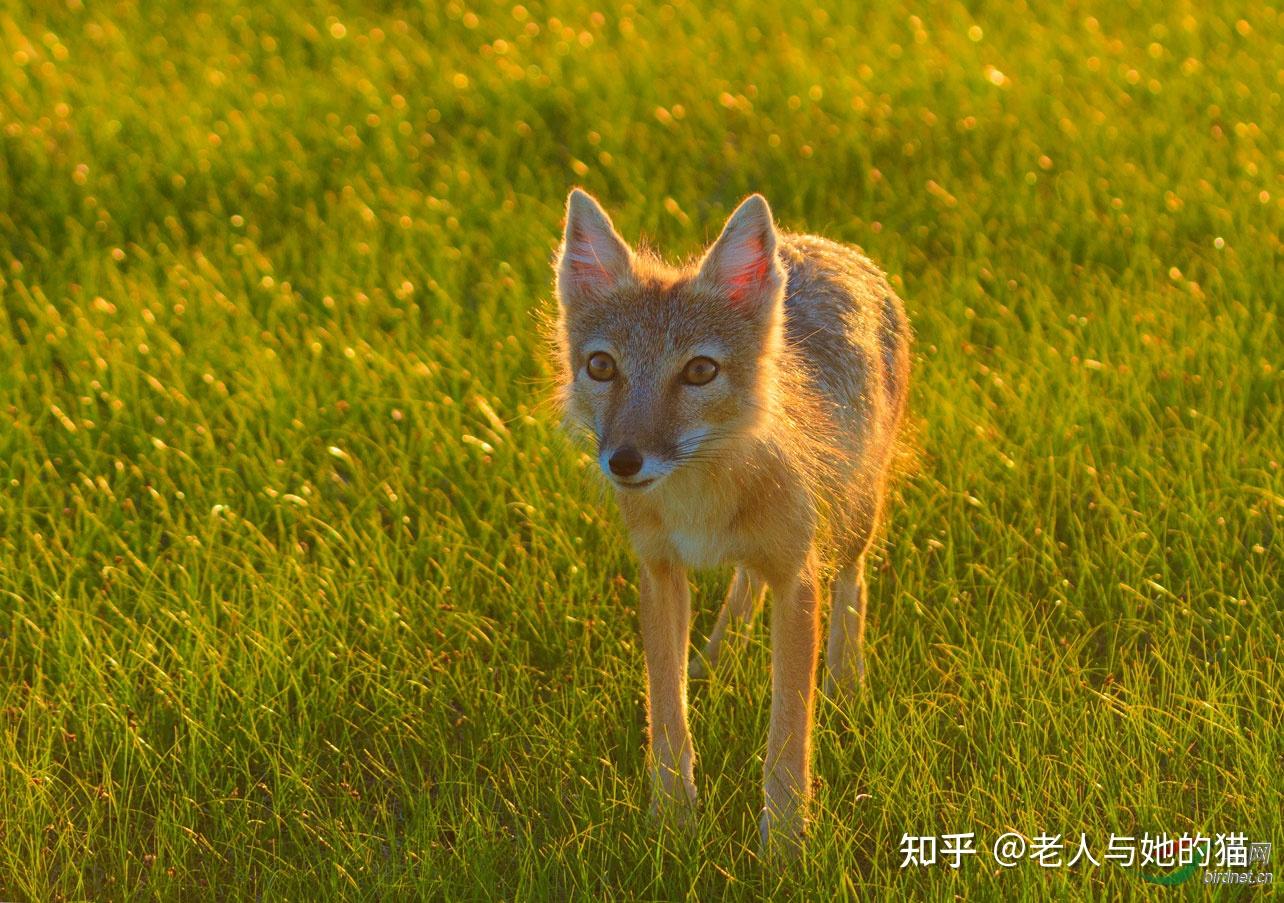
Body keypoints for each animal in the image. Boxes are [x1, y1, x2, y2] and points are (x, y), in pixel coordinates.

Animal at [552, 190, 914, 852]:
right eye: (601, 366)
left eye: (699, 371)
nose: (624, 461)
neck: (702, 504)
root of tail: (825, 242)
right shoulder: (659, 571)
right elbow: (667, 712)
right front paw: (673, 820)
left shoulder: (799, 577)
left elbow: (789, 728)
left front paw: (785, 842)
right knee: (744, 583)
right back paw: (715, 663)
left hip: (853, 522)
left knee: (852, 586)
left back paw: (847, 686)